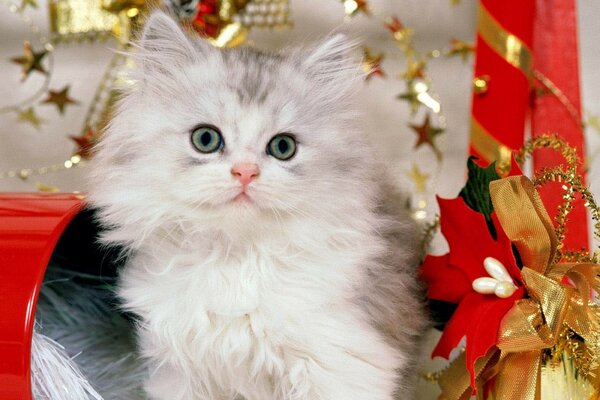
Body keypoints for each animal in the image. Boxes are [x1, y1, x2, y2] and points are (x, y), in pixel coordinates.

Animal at [88, 11, 426, 400]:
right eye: (206, 139)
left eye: (283, 147)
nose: (245, 173)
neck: (235, 257)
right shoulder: (181, 371)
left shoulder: (345, 365)